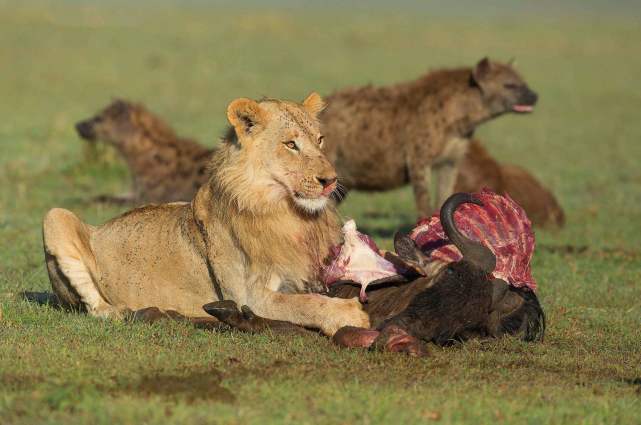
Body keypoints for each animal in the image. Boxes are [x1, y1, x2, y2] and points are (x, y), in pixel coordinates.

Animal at [41, 93, 370, 334]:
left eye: (320, 140)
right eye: (291, 144)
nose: (331, 180)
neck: (286, 212)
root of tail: (99, 227)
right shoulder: (249, 295)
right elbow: (304, 304)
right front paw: (351, 315)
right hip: (55, 215)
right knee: (96, 309)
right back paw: (127, 311)